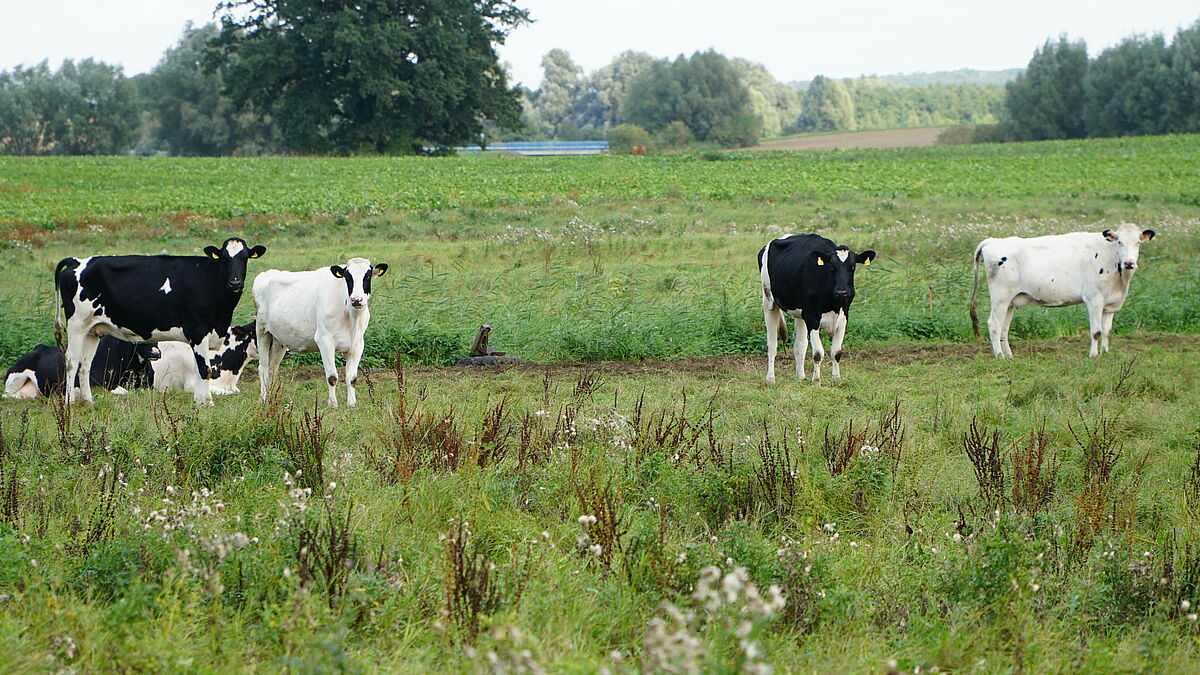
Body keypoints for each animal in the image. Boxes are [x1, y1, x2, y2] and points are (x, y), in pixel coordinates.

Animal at [54, 236, 265, 401]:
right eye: (224, 258)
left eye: (244, 258)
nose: (235, 282)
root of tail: (78, 261)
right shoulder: (198, 331)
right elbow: (204, 369)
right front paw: (206, 403)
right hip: (76, 325)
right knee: (71, 361)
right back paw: (69, 402)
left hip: (93, 329)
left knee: (85, 364)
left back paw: (89, 402)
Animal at [253, 255, 388, 403]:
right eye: (347, 276)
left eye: (368, 276)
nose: (357, 300)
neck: (351, 317)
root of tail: (266, 273)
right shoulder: (324, 340)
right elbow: (332, 377)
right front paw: (333, 404)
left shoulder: (358, 344)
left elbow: (352, 378)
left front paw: (352, 403)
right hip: (262, 331)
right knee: (263, 368)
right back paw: (263, 399)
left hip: (279, 339)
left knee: (273, 368)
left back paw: (271, 399)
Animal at [753, 233, 878, 381]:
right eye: (831, 267)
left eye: (852, 267)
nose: (842, 292)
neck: (833, 304)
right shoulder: (812, 317)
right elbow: (818, 353)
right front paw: (816, 380)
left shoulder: (844, 316)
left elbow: (836, 352)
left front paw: (836, 379)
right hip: (769, 301)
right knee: (772, 344)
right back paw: (771, 378)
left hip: (800, 313)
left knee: (800, 345)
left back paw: (801, 377)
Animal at [969, 220, 1156, 357]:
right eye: (1120, 242)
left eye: (1138, 243)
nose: (1129, 263)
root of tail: (993, 241)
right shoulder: (1094, 299)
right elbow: (1096, 331)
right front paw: (1094, 355)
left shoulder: (1110, 305)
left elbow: (1106, 331)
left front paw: (1105, 353)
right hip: (1000, 297)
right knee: (994, 324)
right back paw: (999, 356)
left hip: (1011, 301)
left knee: (1004, 328)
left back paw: (1009, 355)